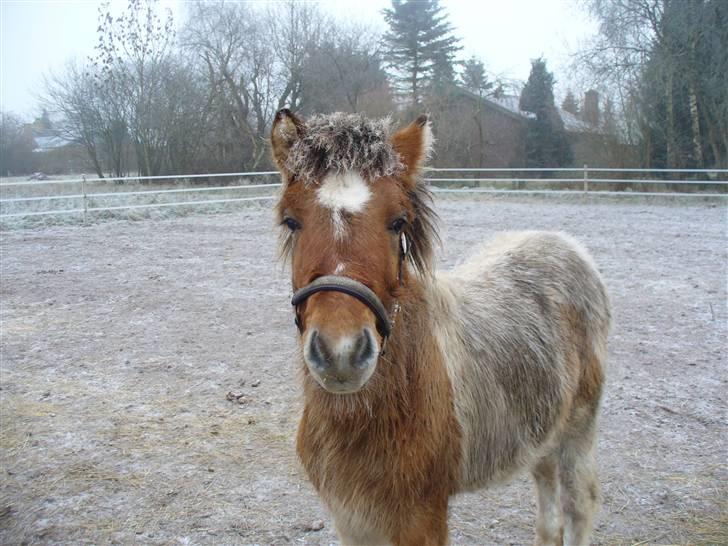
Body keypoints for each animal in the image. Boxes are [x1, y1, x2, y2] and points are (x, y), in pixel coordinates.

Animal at [270, 110, 612, 544]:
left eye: (398, 222)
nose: (341, 353)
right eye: (291, 221)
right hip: (542, 432)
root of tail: (569, 246)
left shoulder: (422, 517)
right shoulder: (351, 518)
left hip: (577, 432)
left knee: (579, 507)